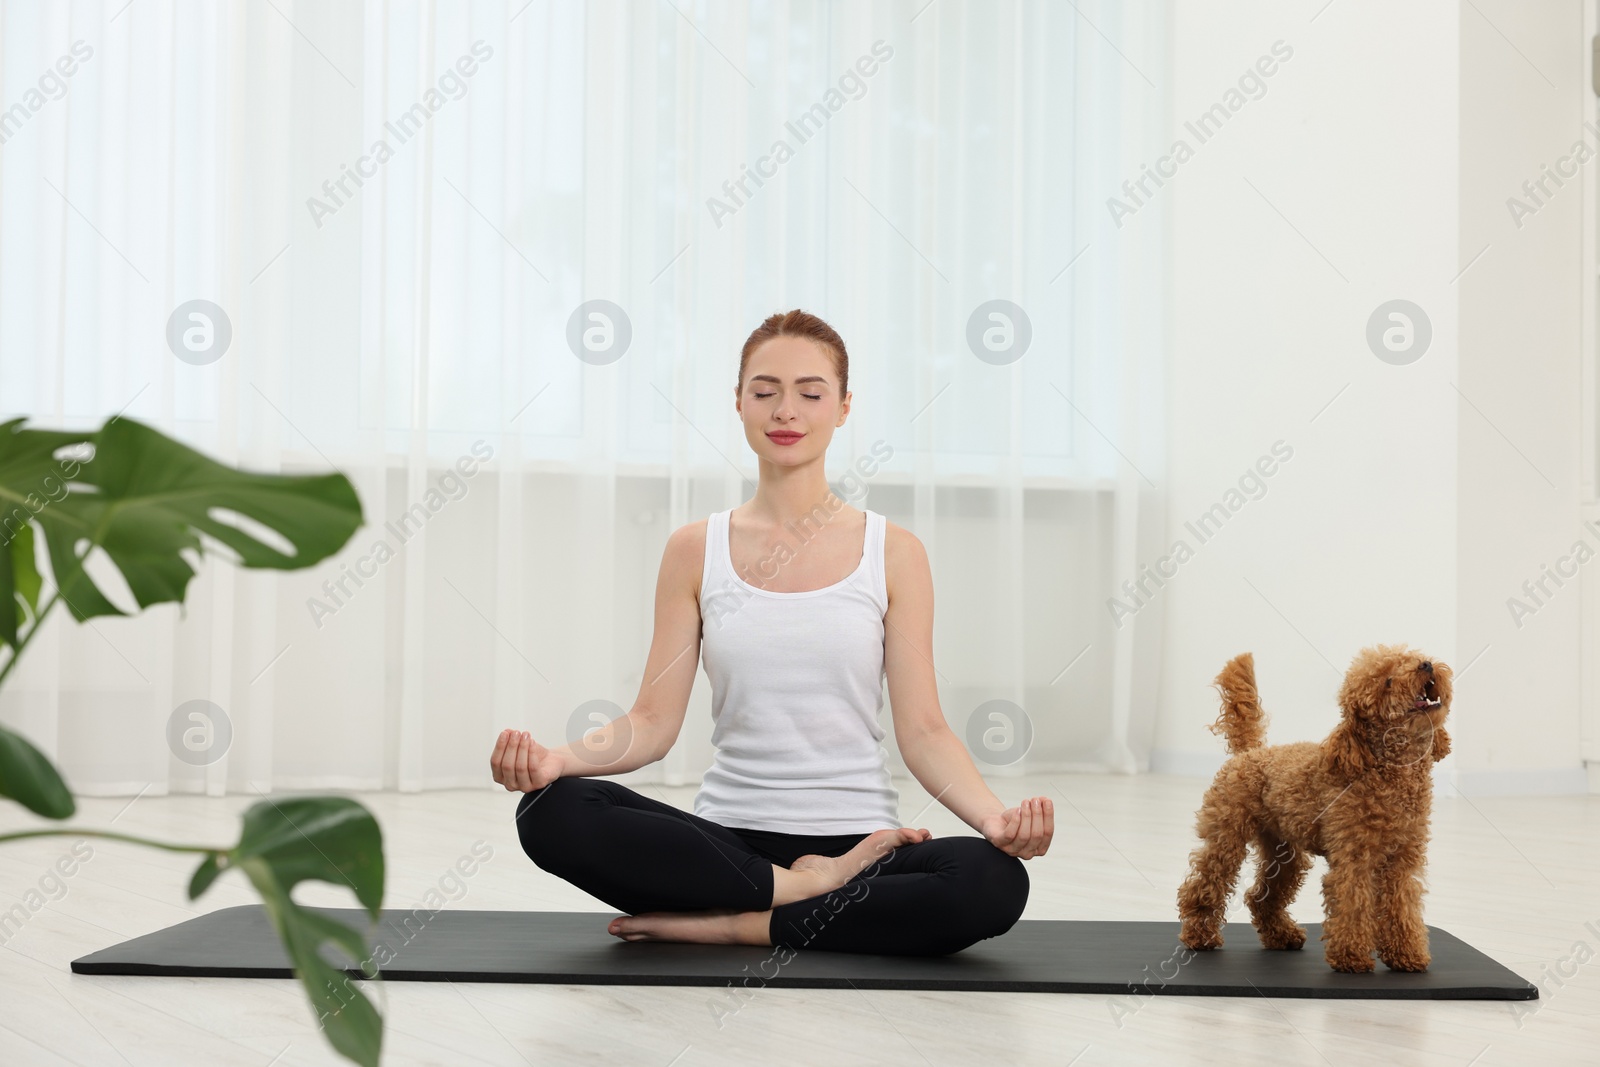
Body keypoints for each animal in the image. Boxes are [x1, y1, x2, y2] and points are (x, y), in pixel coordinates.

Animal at [1177, 646, 1452, 972]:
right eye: (1386, 682)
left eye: (1412, 658)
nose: (1426, 665)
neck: (1385, 772)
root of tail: (1251, 752)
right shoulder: (1354, 858)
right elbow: (1353, 904)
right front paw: (1351, 957)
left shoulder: (1402, 860)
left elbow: (1402, 906)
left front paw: (1406, 954)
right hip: (1226, 837)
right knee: (1203, 887)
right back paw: (1199, 935)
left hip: (1284, 851)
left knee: (1261, 897)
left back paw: (1282, 936)